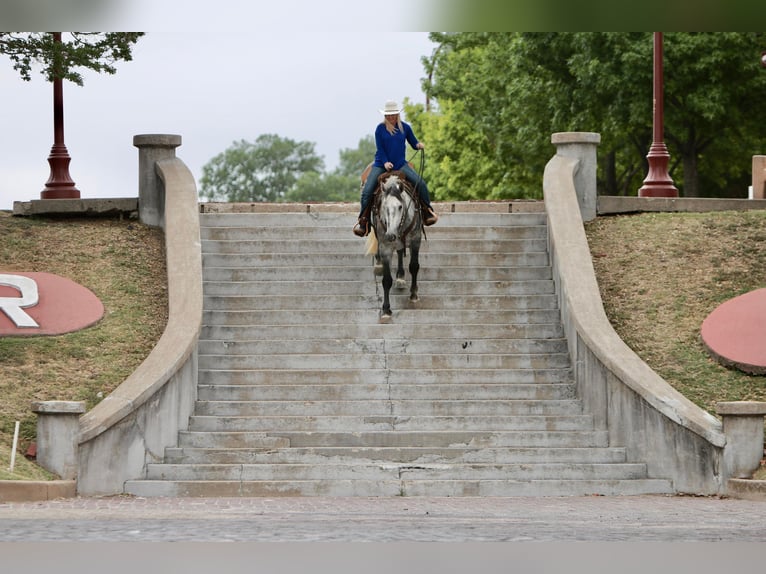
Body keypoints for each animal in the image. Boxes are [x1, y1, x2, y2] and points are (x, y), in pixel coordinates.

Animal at [370, 171, 424, 324]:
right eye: (384, 207)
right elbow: (386, 280)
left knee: (400, 253)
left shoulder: (416, 240)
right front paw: (386, 310)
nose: (391, 235)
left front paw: (413, 295)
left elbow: (414, 266)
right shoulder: (385, 248)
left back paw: (400, 277)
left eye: (400, 206)